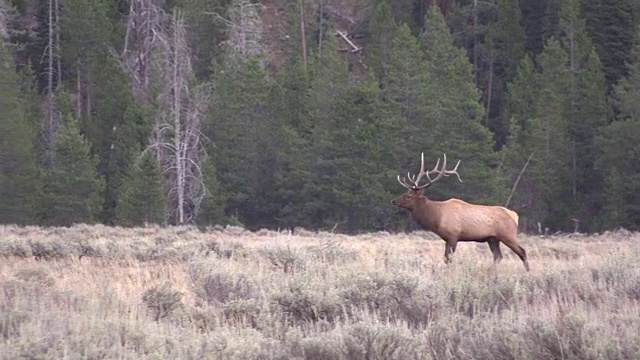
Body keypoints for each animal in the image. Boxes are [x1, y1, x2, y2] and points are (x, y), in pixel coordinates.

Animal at [390, 151, 528, 270]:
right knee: (498, 256)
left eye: (408, 196)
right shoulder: (447, 238)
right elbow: (446, 258)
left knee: (522, 251)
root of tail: (515, 215)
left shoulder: (453, 235)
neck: (436, 216)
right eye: (406, 192)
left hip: (508, 235)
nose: (393, 201)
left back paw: (527, 272)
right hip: (492, 238)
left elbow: (448, 258)